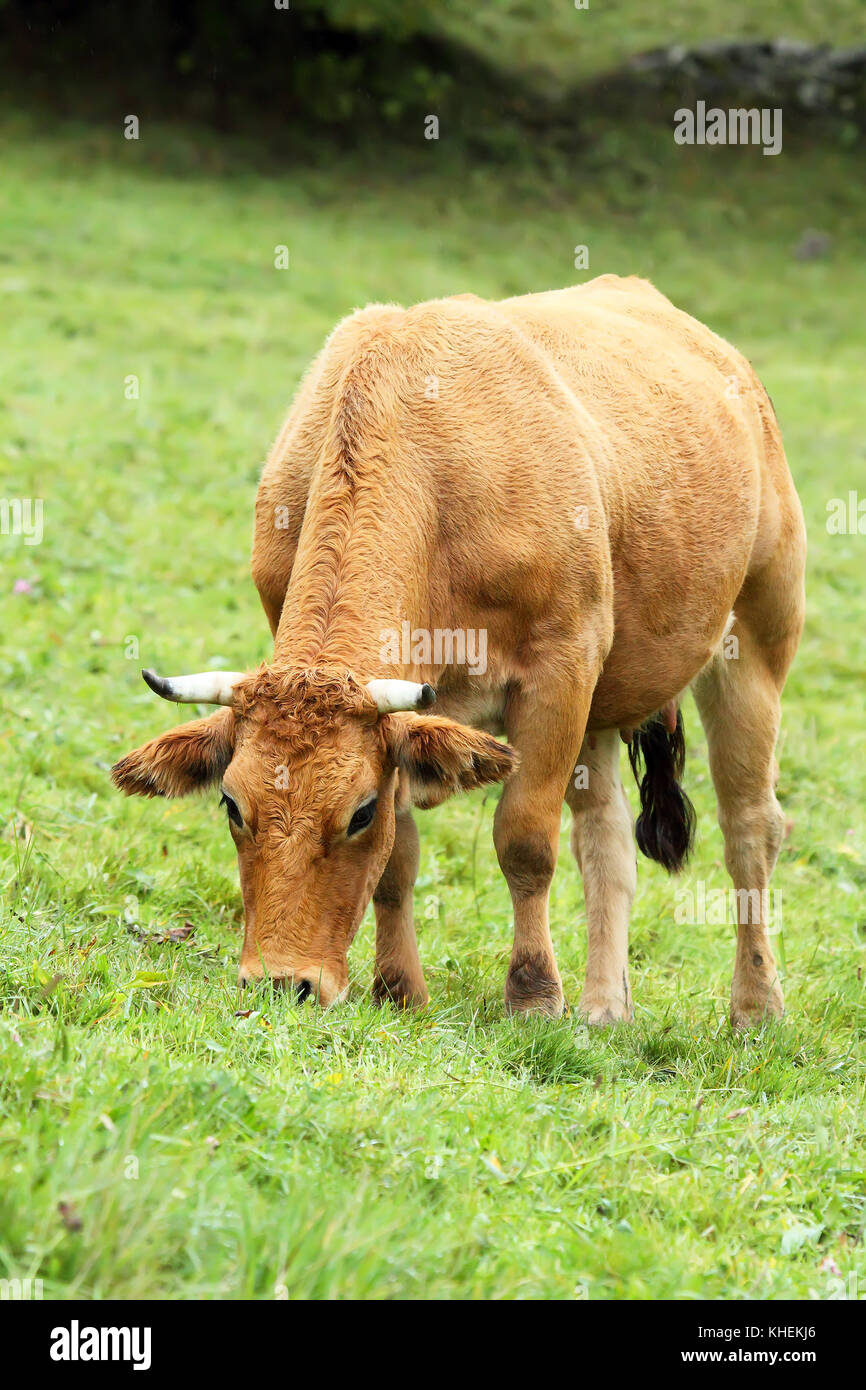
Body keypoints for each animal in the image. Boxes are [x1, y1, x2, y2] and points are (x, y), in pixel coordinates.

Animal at [112, 276, 806, 1028]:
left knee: (750, 827)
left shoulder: (559, 671)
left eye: (357, 813)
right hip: (603, 710)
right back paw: (604, 1007)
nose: (282, 982)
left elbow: (525, 839)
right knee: (607, 838)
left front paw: (533, 993)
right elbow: (401, 859)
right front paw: (398, 987)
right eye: (232, 805)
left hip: (755, 643)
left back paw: (756, 1006)